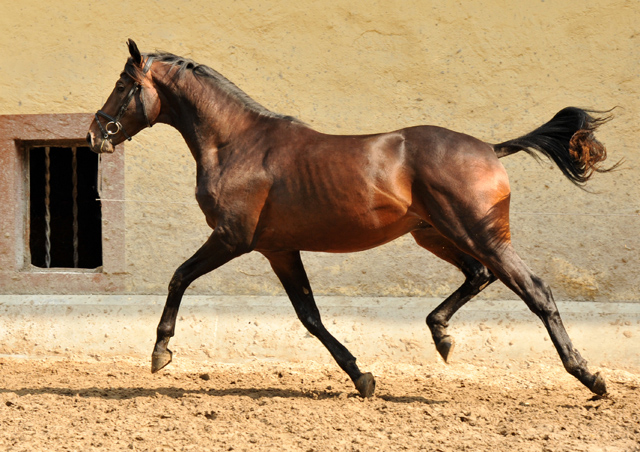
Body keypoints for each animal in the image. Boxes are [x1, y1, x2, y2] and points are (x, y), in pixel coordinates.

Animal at [87, 40, 612, 398]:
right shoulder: (278, 248)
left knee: (535, 291)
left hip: (479, 235)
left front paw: (160, 353)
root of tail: (489, 148)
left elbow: (179, 277)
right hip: (436, 235)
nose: (94, 134)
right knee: (479, 276)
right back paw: (441, 335)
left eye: (121, 85)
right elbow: (310, 316)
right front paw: (362, 377)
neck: (237, 143)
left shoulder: (232, 238)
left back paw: (590, 377)